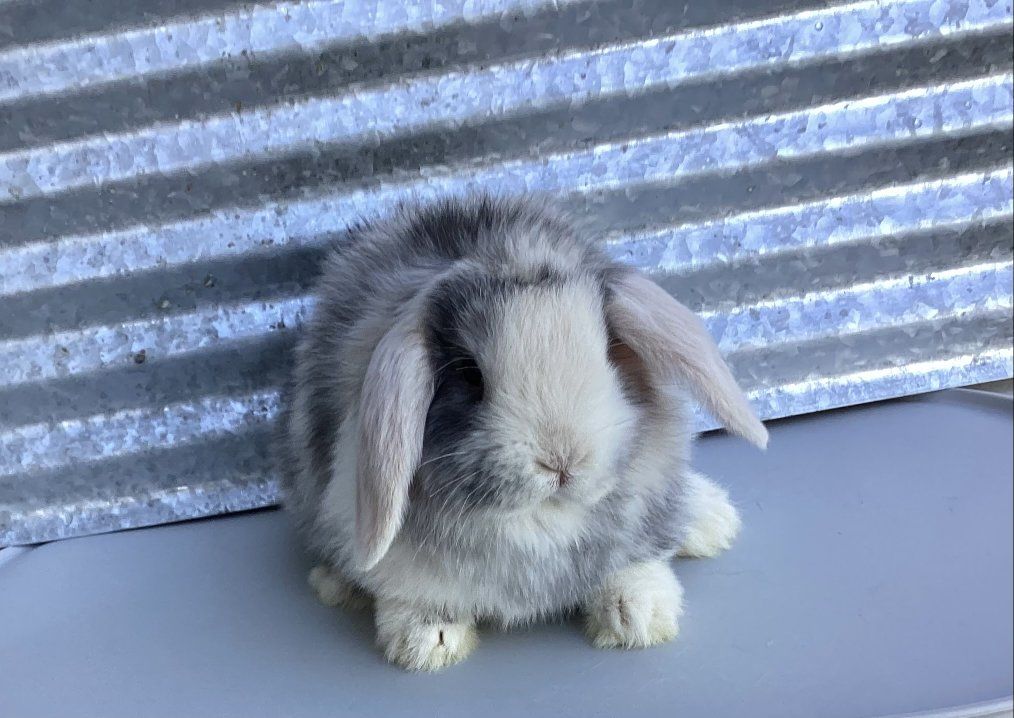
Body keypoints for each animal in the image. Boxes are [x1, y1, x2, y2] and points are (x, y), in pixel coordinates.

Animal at [277, 195, 767, 671]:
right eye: (469, 375)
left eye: (610, 354)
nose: (562, 461)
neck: (541, 521)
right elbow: (412, 595)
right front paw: (428, 641)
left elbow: (634, 566)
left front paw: (638, 615)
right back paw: (335, 584)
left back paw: (714, 519)